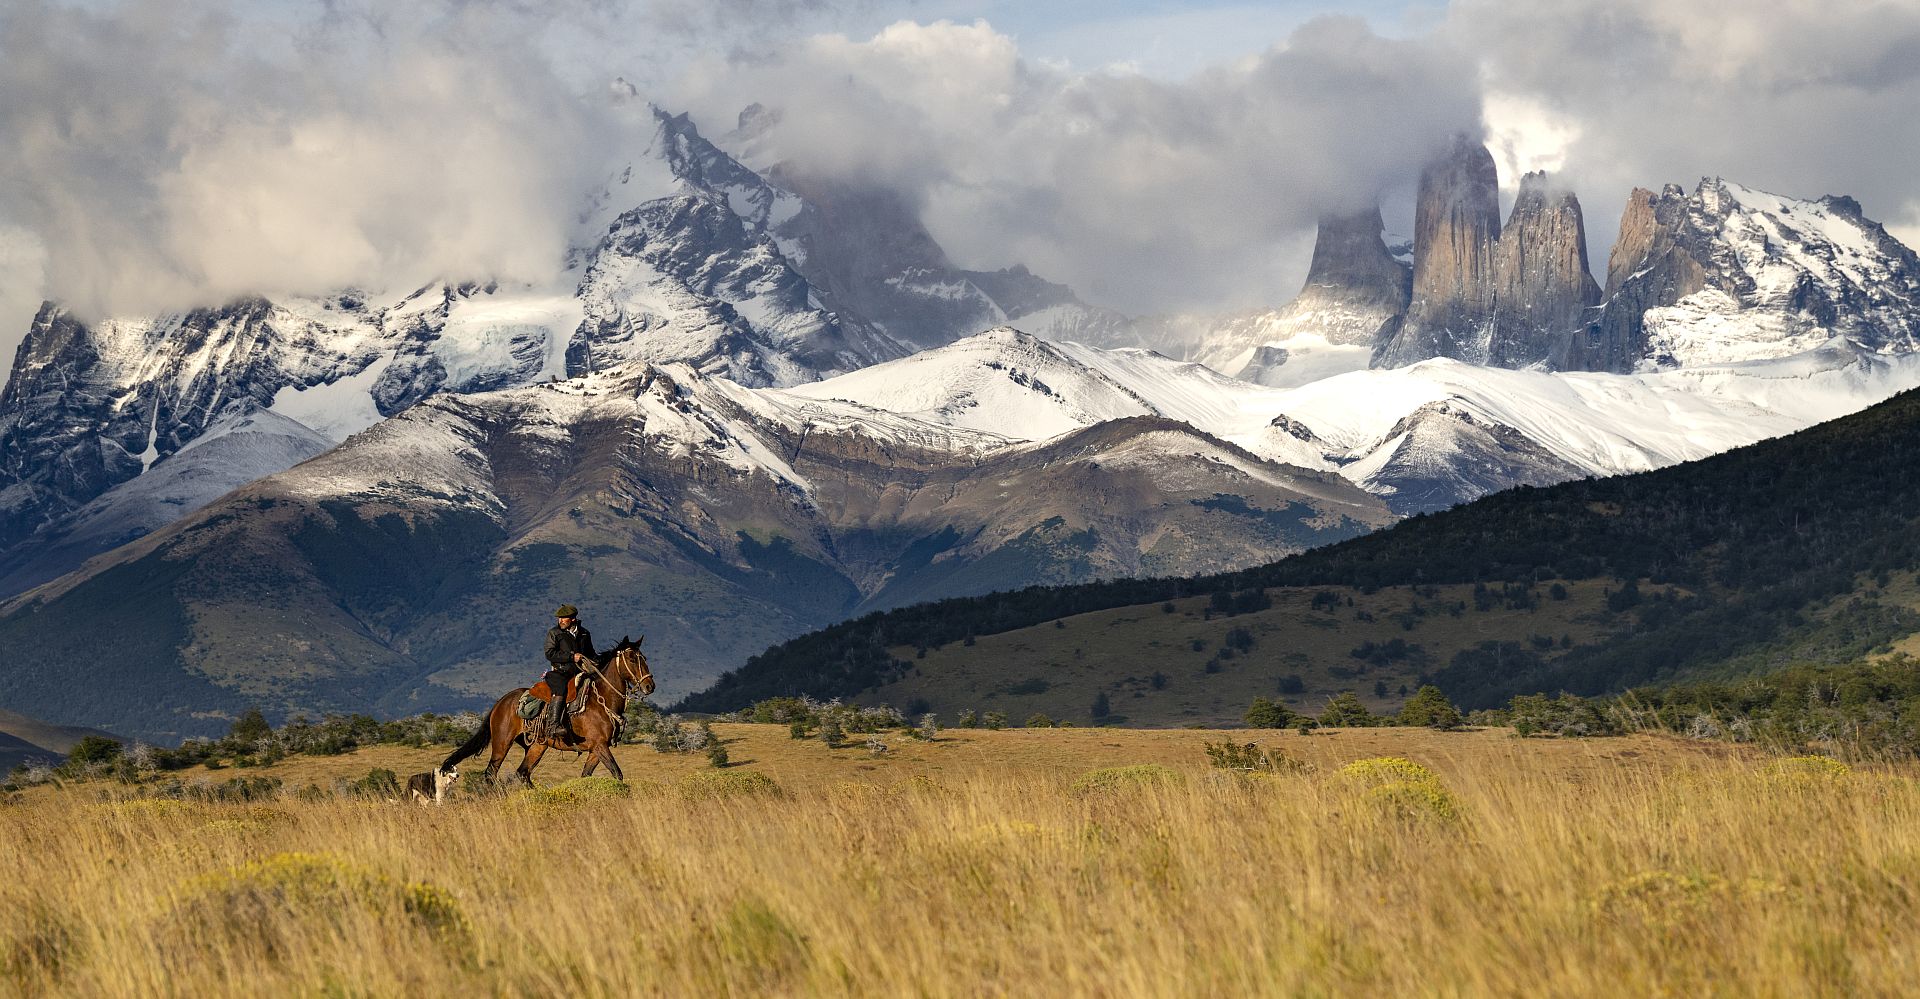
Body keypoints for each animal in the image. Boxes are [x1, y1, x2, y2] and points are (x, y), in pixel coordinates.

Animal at [443, 637, 660, 783]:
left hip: (536, 746)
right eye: (631, 658)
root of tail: (500, 702)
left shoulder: (596, 749)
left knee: (523, 773)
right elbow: (617, 773)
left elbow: (586, 776)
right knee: (491, 772)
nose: (649, 686)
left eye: (643, 657)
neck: (601, 700)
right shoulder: (599, 745)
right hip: (502, 743)